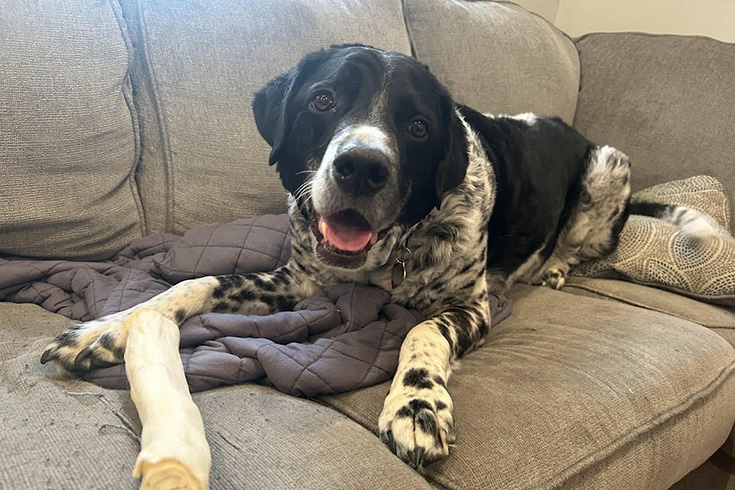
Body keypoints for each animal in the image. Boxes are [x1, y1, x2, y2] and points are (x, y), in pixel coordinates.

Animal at [40, 45, 708, 468]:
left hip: (607, 166)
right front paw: (108, 330)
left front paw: (417, 403)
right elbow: (194, 285)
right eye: (322, 100)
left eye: (417, 126)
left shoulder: (471, 306)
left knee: (584, 244)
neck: (389, 255)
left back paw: (560, 267)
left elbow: (421, 331)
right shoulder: (298, 280)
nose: (361, 167)